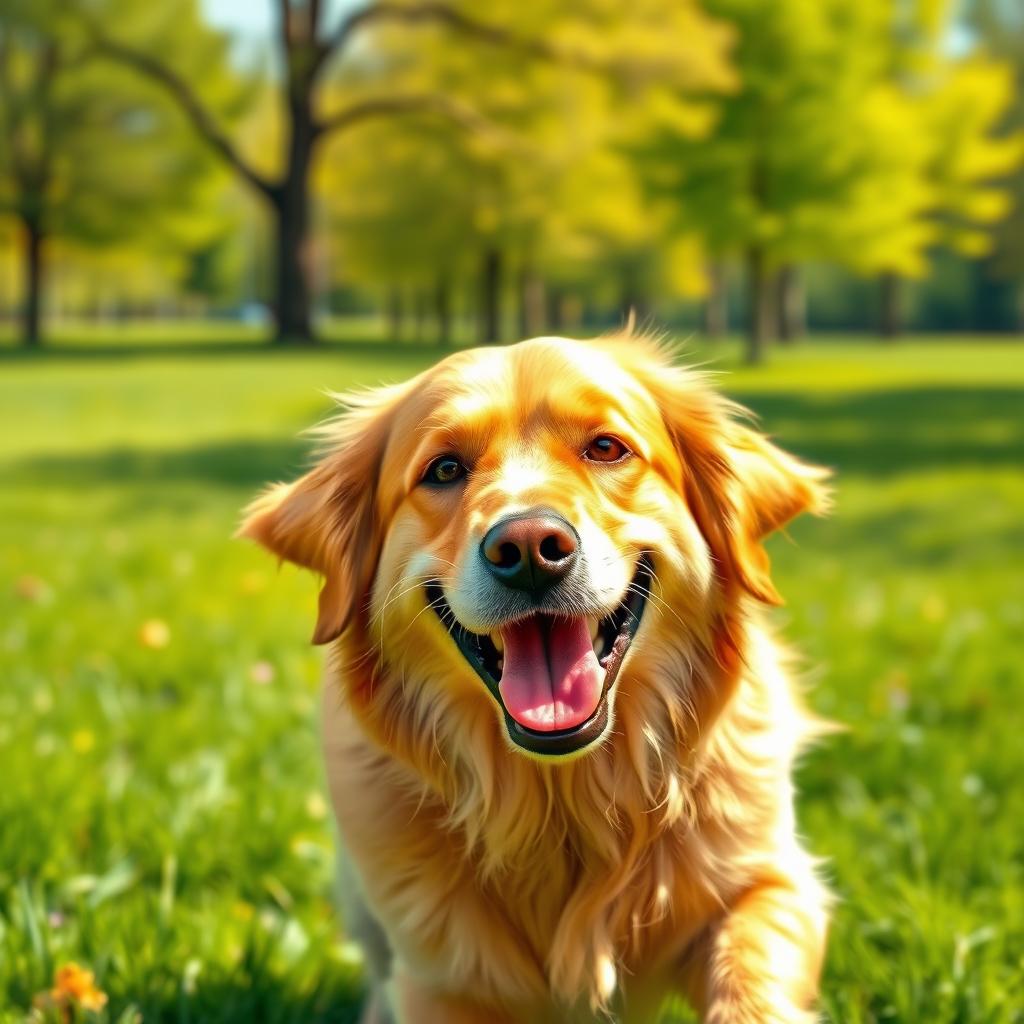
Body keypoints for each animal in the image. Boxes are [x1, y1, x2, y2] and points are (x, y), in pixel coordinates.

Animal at [241, 331, 831, 1019]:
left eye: (606, 447)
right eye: (444, 469)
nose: (527, 548)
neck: (562, 804)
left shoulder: (768, 884)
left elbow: (750, 976)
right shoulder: (436, 976)